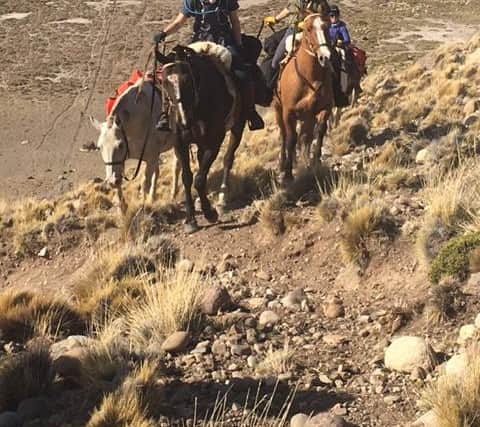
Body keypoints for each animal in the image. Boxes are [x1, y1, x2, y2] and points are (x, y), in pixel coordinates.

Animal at [272, 12, 336, 184]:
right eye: (308, 29)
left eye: (327, 26)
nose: (325, 57)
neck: (309, 78)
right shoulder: (288, 113)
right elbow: (290, 139)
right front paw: (288, 173)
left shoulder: (324, 109)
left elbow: (319, 131)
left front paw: (315, 161)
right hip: (278, 109)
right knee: (284, 135)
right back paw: (283, 163)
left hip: (307, 117)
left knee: (305, 137)